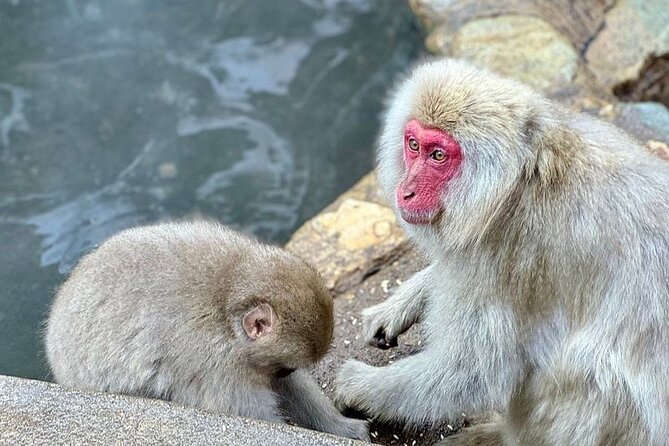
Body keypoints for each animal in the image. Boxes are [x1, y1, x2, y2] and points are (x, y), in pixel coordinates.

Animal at [45, 220, 370, 440]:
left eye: (286, 369)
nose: (281, 373)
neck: (227, 305)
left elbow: (292, 389)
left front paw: (341, 427)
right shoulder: (217, 365)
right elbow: (248, 414)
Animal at [332, 59, 668, 446]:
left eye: (438, 155)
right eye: (413, 145)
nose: (406, 191)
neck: (516, 184)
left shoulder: (508, 253)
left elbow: (471, 373)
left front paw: (357, 384)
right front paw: (401, 303)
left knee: (587, 373)